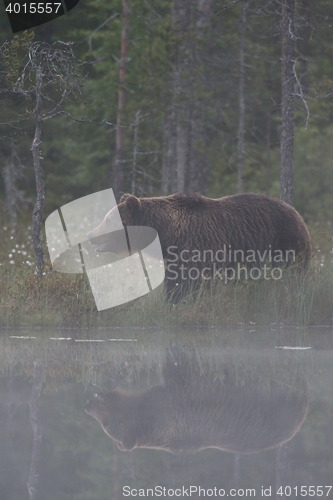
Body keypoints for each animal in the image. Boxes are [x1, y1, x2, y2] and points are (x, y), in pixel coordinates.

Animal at [87, 191, 310, 300]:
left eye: (108, 220)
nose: (90, 234)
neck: (166, 232)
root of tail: (298, 214)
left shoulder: (194, 247)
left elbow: (185, 282)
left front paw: (178, 301)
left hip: (285, 243)